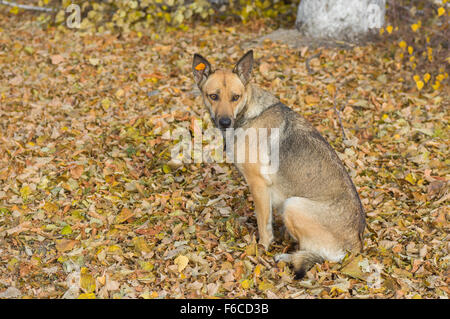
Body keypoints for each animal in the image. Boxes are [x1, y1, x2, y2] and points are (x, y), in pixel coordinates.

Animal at [191, 50, 366, 280]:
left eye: (235, 97)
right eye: (213, 96)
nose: (225, 122)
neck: (247, 112)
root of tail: (356, 245)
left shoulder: (258, 185)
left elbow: (264, 225)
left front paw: (261, 249)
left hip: (293, 205)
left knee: (315, 254)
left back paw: (286, 257)